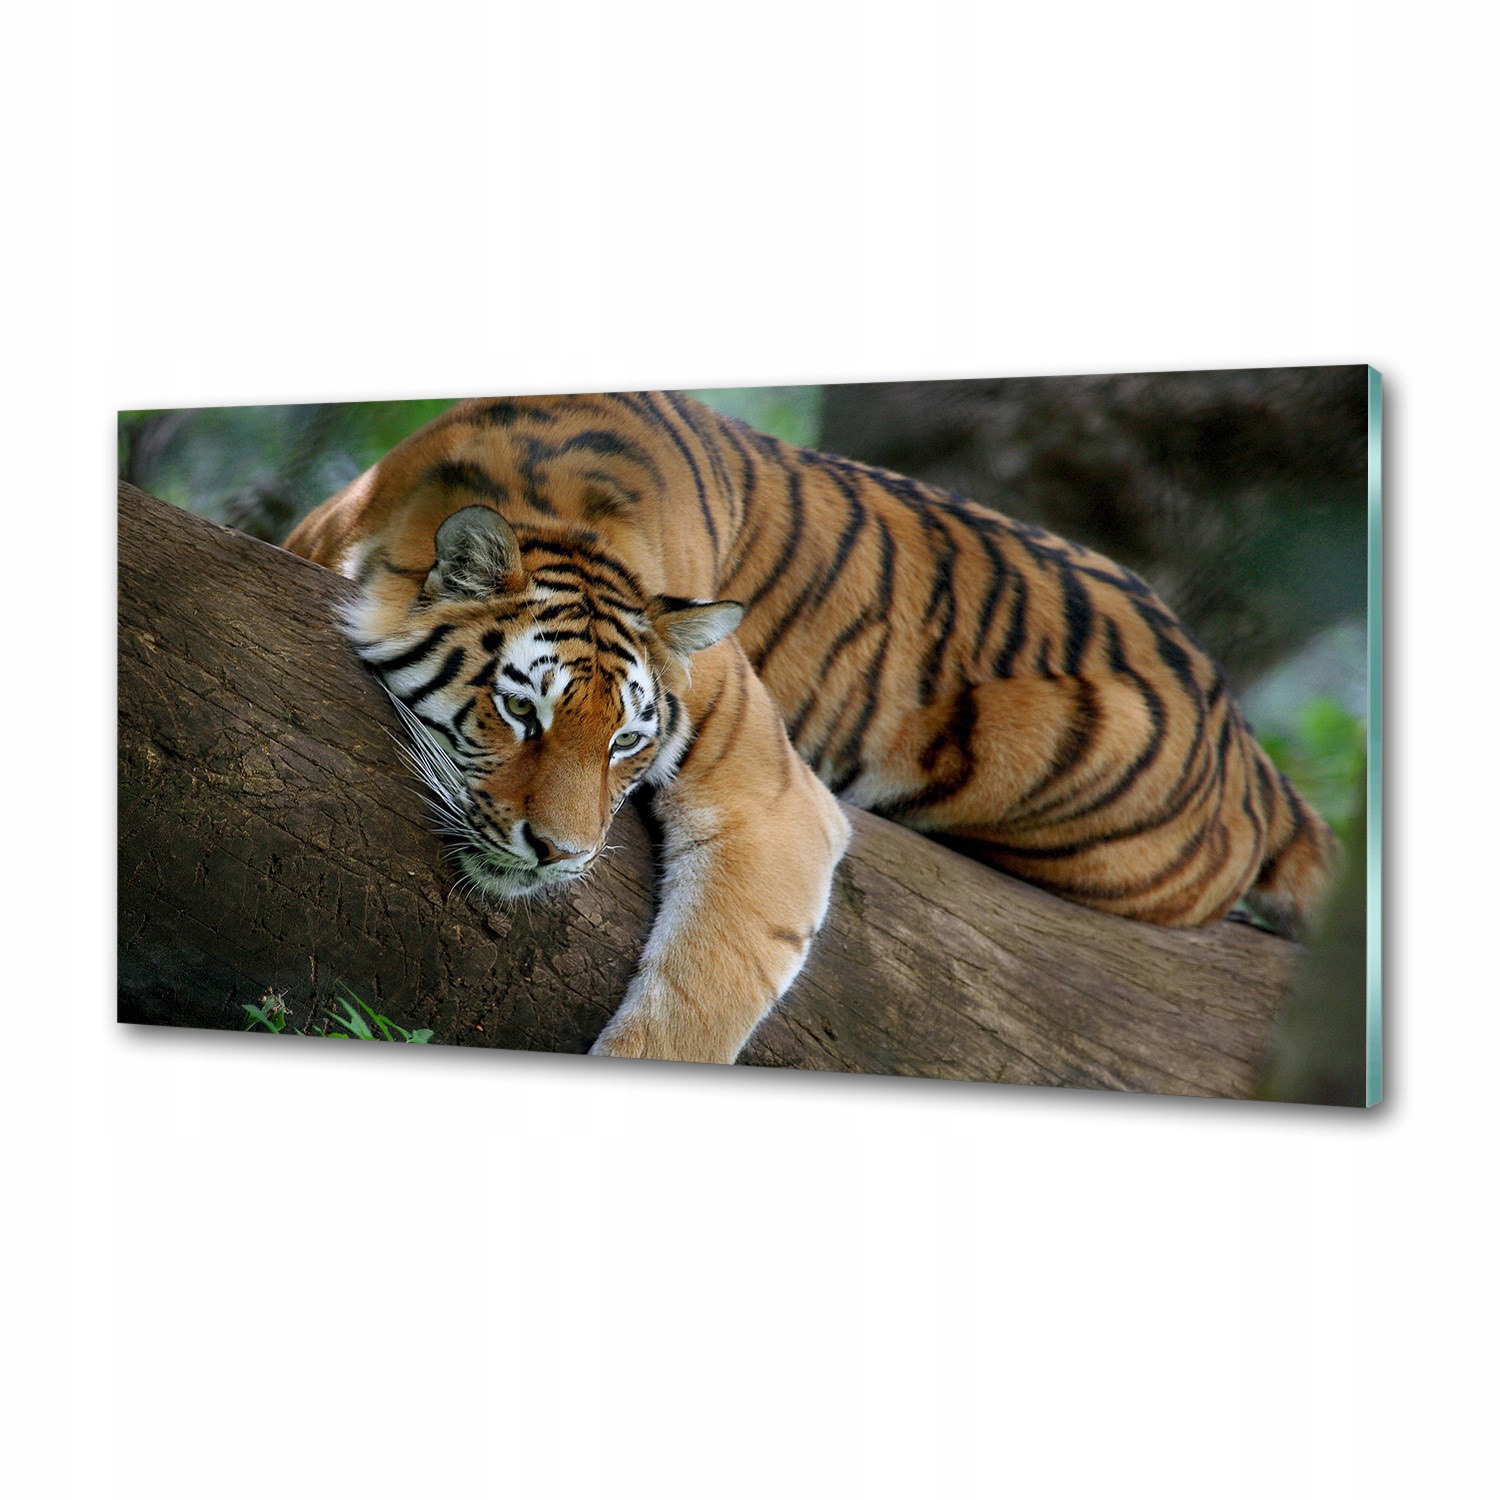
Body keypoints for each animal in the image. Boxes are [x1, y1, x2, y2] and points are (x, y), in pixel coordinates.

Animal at [284, 391, 1339, 1064]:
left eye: (626, 741)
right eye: (519, 711)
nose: (560, 854)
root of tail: (1248, 742)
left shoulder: (774, 798)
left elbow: (698, 998)